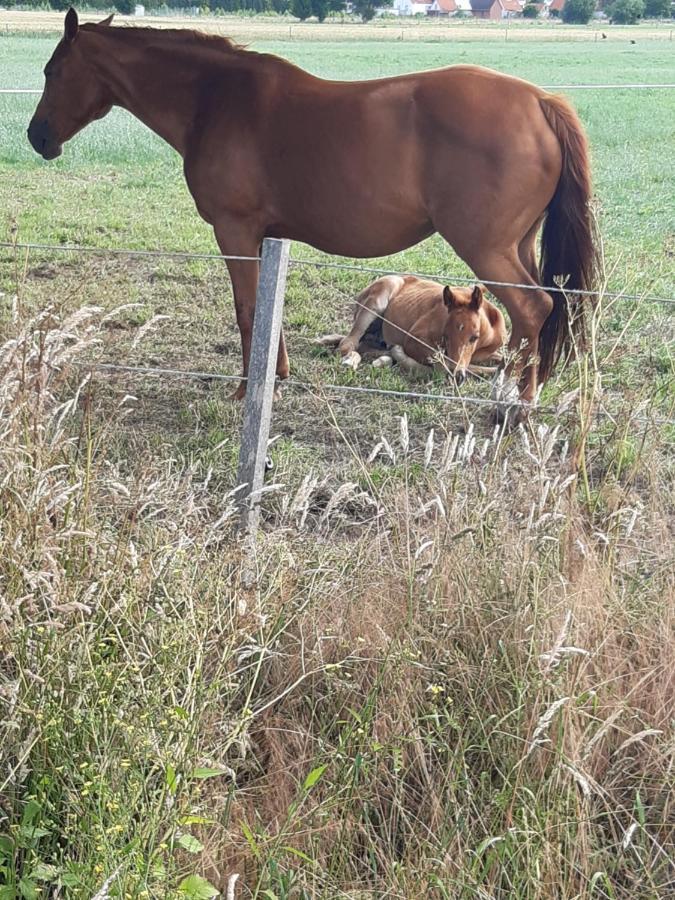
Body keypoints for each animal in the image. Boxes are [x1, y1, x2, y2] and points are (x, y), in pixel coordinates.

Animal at [318, 274, 508, 380]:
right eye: (445, 336)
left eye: (474, 337)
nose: (456, 376)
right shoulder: (413, 340)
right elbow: (441, 364)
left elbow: (502, 359)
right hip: (377, 300)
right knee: (347, 344)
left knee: (361, 344)